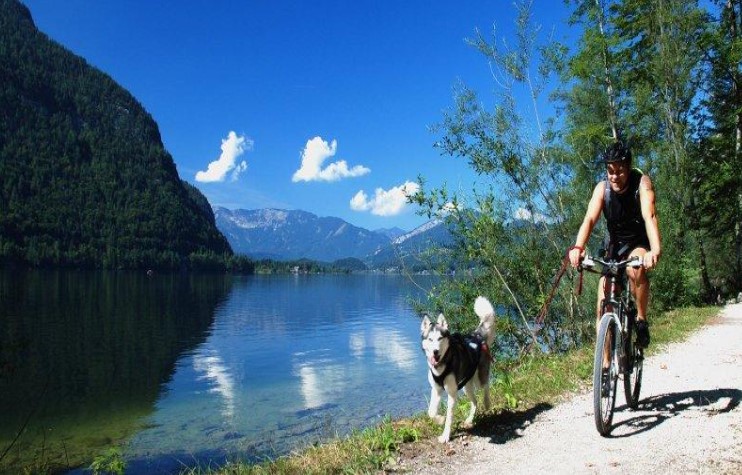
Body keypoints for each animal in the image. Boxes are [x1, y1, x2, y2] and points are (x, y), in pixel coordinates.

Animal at [422, 296, 496, 444]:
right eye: (430, 339)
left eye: (440, 338)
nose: (435, 352)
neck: (442, 364)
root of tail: (477, 336)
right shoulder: (437, 389)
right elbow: (431, 412)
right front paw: (440, 419)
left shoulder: (452, 393)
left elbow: (450, 417)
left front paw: (445, 435)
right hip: (466, 386)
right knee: (475, 402)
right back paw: (469, 419)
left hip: (479, 378)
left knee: (486, 386)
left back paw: (487, 403)